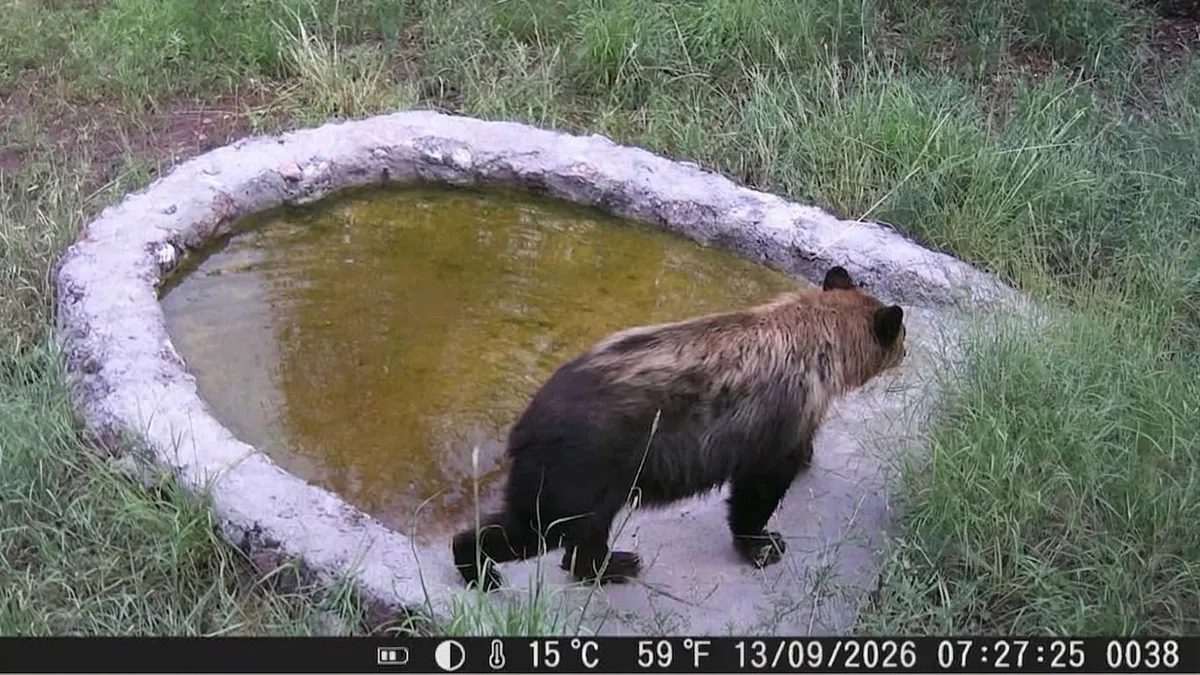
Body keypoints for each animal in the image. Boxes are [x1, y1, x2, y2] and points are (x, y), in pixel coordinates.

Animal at [451, 264, 907, 591]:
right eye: (902, 335)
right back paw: (478, 569)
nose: (905, 350)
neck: (817, 342)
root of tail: (524, 426)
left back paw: (614, 564)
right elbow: (759, 486)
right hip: (578, 471)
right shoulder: (777, 417)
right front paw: (762, 545)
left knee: (583, 537)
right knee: (539, 528)